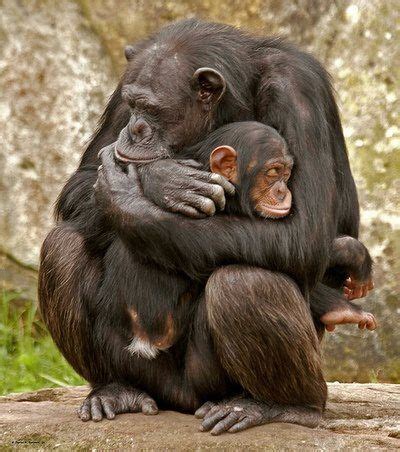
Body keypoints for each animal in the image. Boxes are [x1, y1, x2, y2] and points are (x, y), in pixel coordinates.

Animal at [38, 19, 372, 432]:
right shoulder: (122, 88)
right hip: (142, 370)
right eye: (133, 105)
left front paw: (144, 188)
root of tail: (179, 401)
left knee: (243, 283)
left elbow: (304, 233)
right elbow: (81, 182)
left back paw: (281, 406)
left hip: (205, 382)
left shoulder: (298, 91)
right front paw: (165, 179)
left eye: (152, 109)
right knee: (62, 246)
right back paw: (115, 389)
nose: (134, 128)